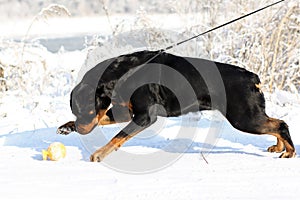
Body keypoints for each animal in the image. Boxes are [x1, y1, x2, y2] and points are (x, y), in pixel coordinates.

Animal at [57, 50, 296, 161]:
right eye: (75, 112)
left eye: (88, 110)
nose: (81, 130)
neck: (123, 74)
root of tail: (252, 77)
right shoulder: (127, 113)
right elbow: (107, 122)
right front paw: (67, 126)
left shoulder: (144, 117)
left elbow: (118, 136)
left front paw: (99, 154)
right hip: (250, 115)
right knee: (275, 123)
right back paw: (279, 147)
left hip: (244, 117)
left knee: (281, 124)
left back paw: (289, 153)